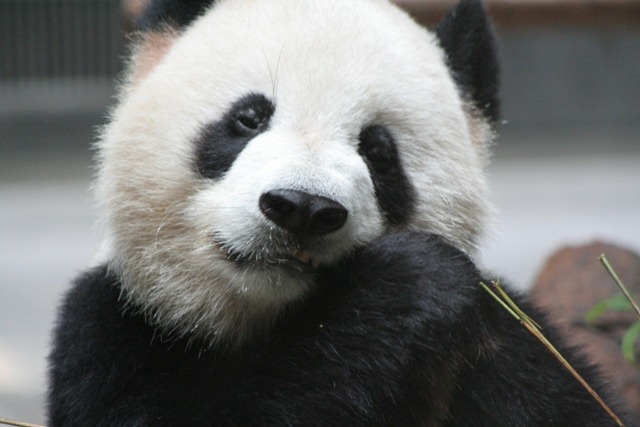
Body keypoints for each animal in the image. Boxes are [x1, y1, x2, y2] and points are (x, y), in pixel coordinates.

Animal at [47, 0, 631, 425]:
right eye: (248, 118)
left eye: (378, 151)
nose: (301, 208)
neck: (272, 318)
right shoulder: (117, 330)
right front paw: (406, 283)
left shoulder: (507, 357)